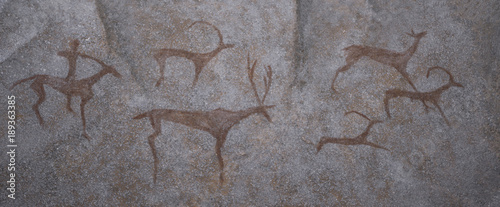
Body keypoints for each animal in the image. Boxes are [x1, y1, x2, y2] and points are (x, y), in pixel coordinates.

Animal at [133, 53, 274, 184]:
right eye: (264, 110)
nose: (270, 118)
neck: (231, 118)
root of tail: (148, 112)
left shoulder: (221, 138)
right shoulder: (218, 138)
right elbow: (221, 164)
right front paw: (221, 182)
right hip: (157, 124)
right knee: (150, 138)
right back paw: (154, 176)